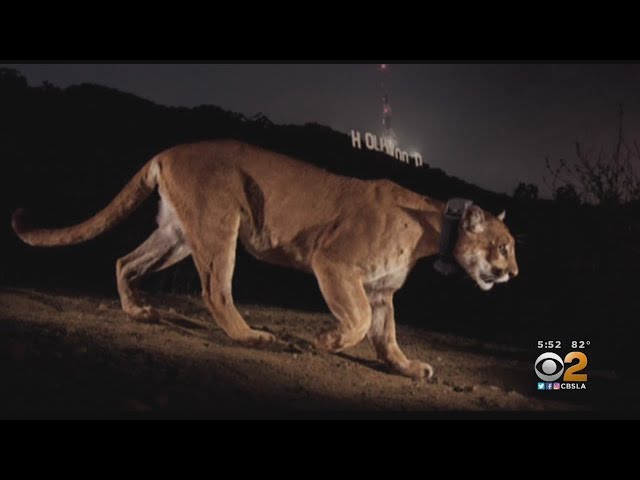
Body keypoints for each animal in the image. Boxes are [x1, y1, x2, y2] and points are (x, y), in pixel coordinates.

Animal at [12, 140, 518, 380]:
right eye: (503, 246)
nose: (514, 272)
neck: (432, 229)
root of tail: (168, 150)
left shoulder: (380, 291)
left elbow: (386, 337)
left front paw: (408, 367)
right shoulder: (334, 263)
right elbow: (356, 322)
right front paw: (327, 339)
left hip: (177, 234)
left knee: (124, 261)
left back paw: (139, 311)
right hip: (220, 225)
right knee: (215, 289)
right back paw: (256, 338)